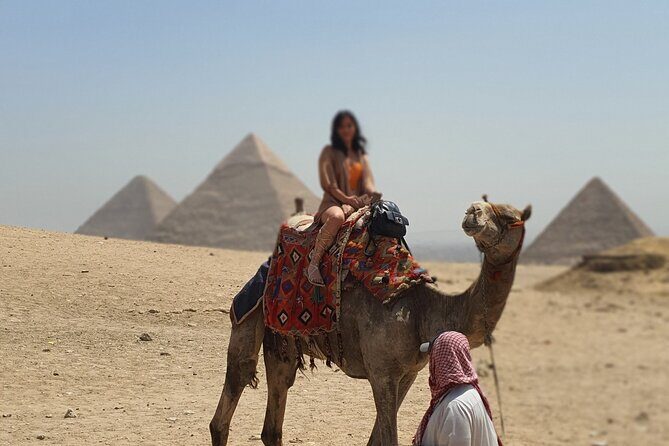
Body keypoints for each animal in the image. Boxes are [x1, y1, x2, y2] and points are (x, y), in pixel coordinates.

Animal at [210, 200, 531, 446]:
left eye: (508, 216)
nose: (472, 211)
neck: (421, 311)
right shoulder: (382, 372)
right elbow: (387, 439)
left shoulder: (407, 374)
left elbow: (376, 438)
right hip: (249, 313)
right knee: (235, 385)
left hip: (282, 342)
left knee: (275, 411)